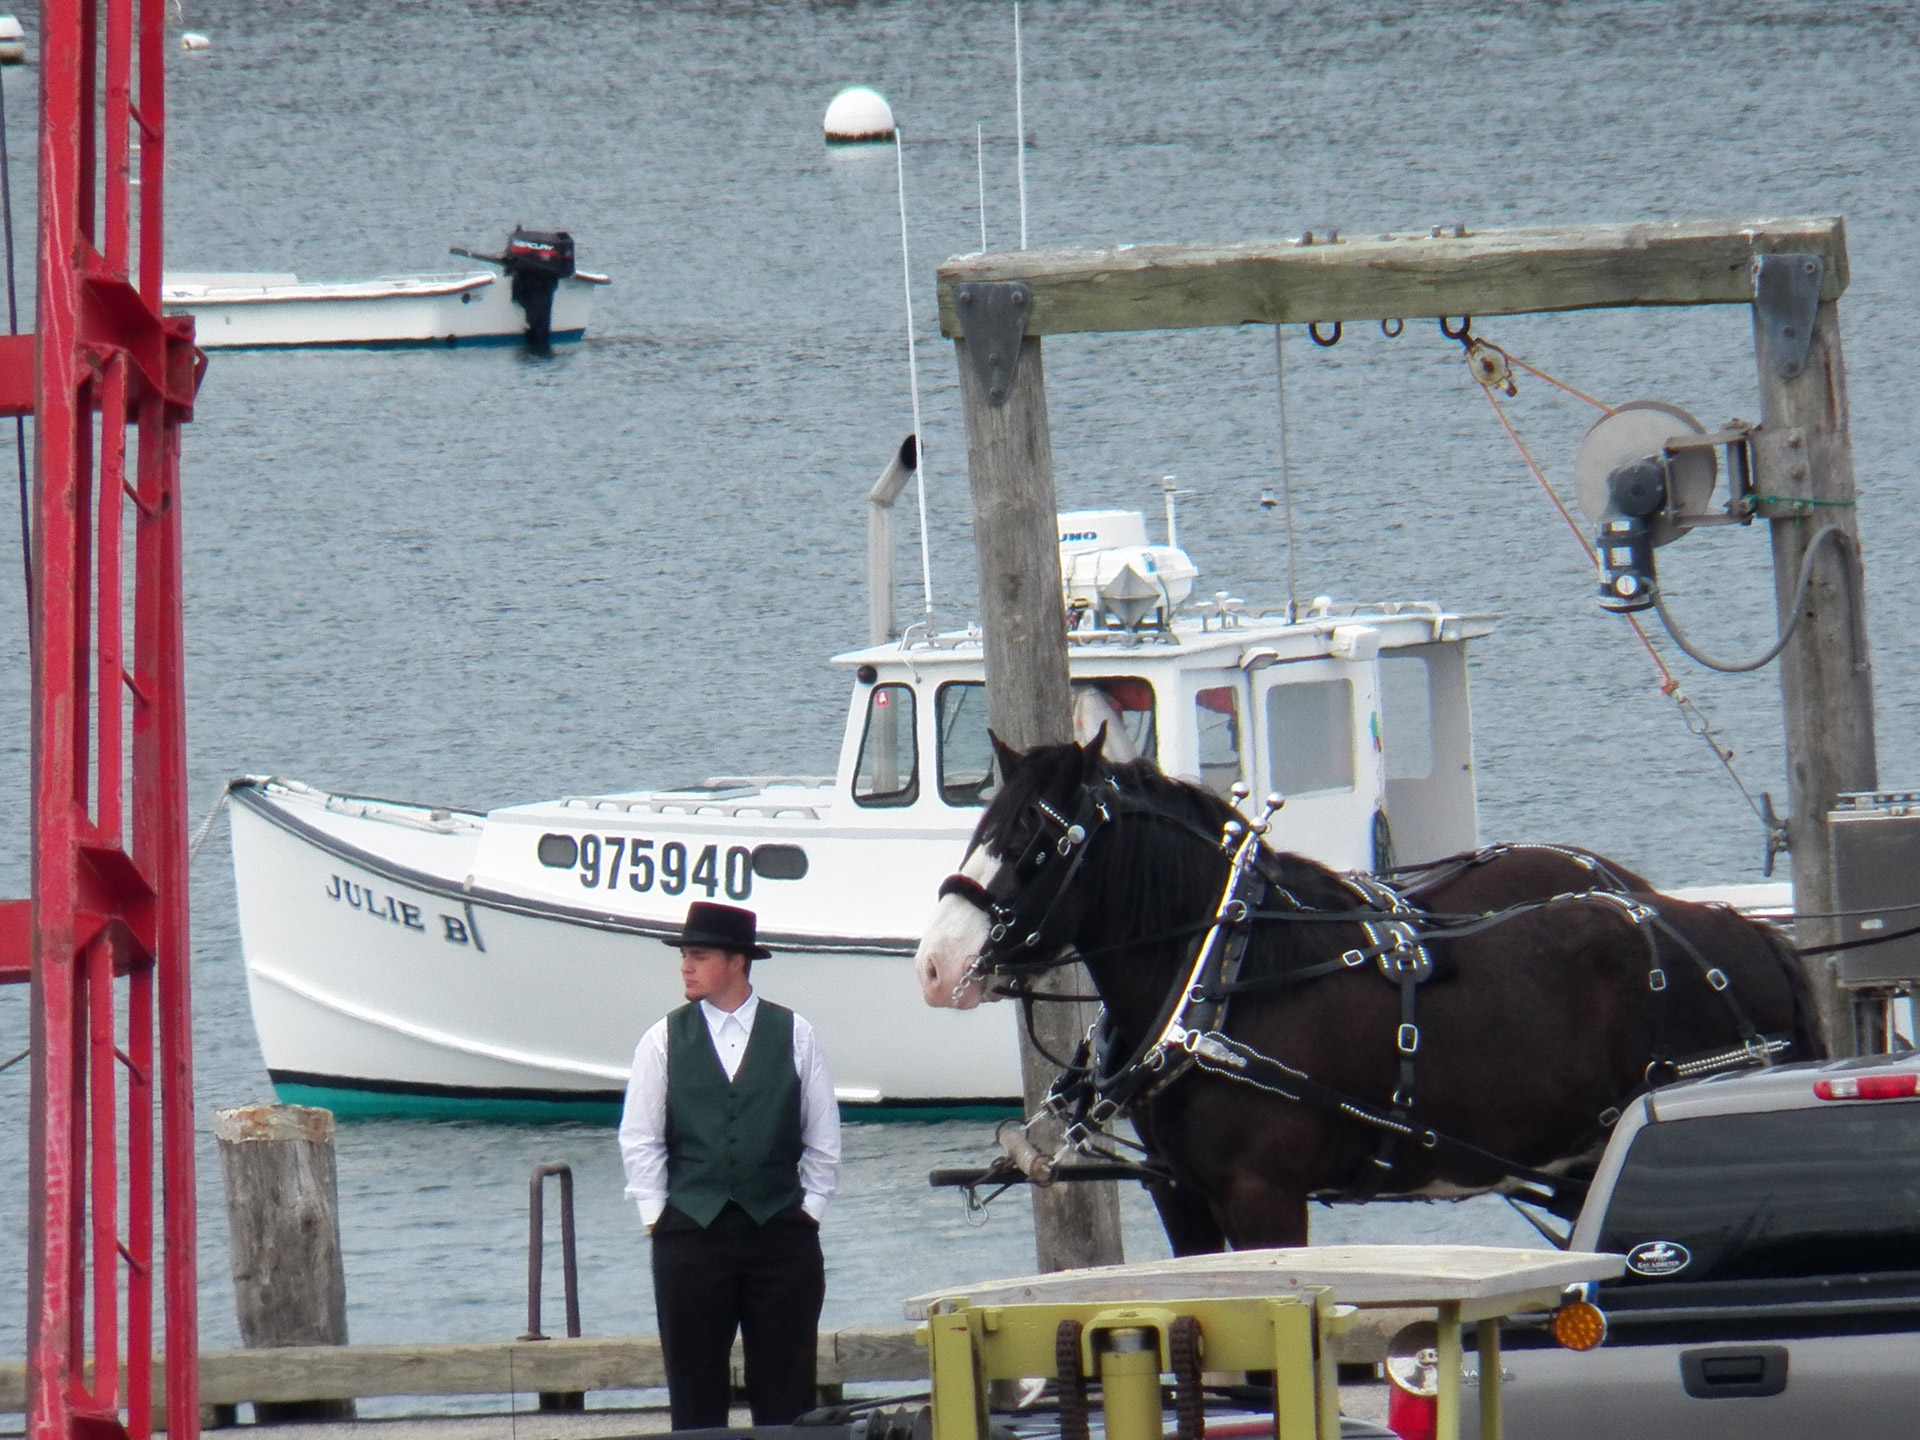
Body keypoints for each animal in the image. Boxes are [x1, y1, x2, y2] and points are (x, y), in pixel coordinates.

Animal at [913, 737, 1812, 1259]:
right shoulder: (1182, 1194)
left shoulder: (1264, 1196)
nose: (934, 965)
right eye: (979, 824)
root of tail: (1749, 935)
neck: (1224, 979)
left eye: (1035, 841)